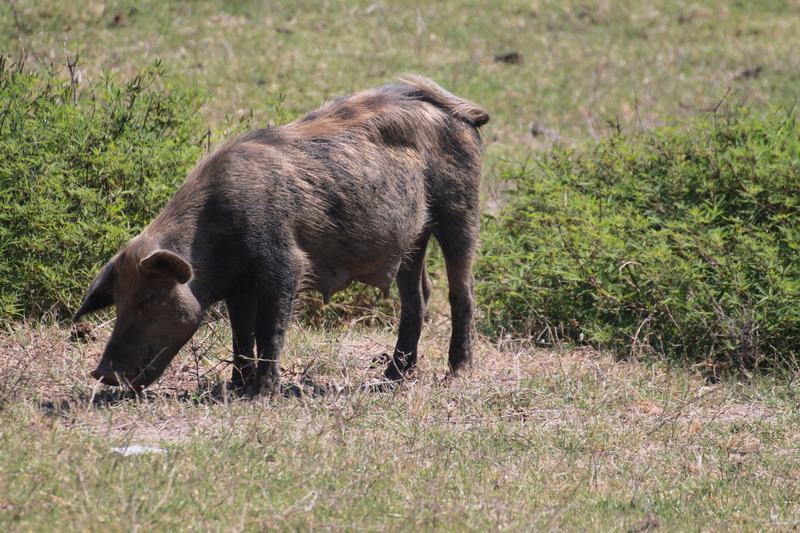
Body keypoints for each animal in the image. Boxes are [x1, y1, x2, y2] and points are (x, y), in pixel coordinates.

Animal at [72, 75, 490, 396]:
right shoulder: (238, 285)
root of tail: (462, 113)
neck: (217, 233)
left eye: (151, 297)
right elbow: (241, 333)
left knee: (461, 289)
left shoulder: (284, 261)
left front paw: (262, 393)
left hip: (461, 206)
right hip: (413, 236)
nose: (102, 373)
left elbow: (269, 328)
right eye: (119, 299)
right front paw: (235, 387)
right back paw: (390, 379)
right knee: (417, 294)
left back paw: (456, 376)